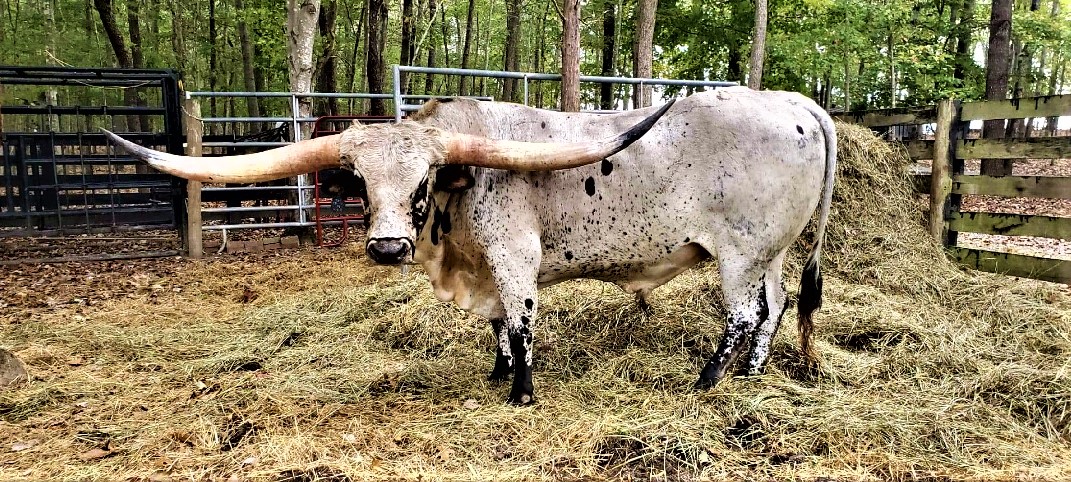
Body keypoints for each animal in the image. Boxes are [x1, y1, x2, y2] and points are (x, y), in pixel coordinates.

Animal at [104, 87, 836, 405]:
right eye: (360, 182)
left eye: (423, 178)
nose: (387, 248)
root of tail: (796, 104)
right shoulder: (483, 267)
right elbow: (497, 328)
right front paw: (496, 370)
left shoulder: (514, 259)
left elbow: (521, 321)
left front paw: (521, 391)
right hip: (769, 253)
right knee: (772, 309)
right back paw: (749, 375)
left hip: (739, 253)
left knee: (741, 315)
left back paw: (708, 379)